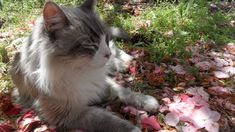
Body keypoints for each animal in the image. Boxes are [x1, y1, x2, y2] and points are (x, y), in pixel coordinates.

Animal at [10, 0, 159, 131]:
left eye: (104, 39)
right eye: (91, 44)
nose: (107, 54)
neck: (80, 71)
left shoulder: (100, 82)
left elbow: (123, 91)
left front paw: (147, 101)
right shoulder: (70, 113)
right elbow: (107, 120)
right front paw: (132, 129)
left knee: (115, 49)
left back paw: (124, 61)